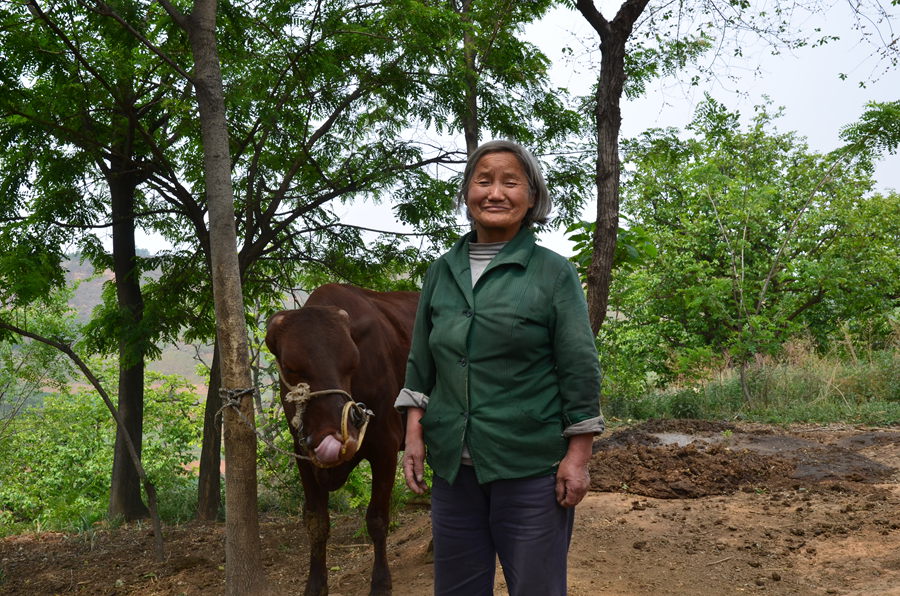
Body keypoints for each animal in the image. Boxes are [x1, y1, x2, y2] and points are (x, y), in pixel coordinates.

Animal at [266, 286, 420, 596]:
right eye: (290, 367)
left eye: (353, 362)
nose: (337, 432)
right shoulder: (302, 453)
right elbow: (316, 522)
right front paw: (315, 585)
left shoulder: (385, 447)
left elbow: (377, 519)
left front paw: (381, 583)